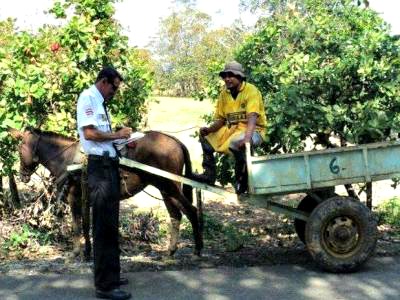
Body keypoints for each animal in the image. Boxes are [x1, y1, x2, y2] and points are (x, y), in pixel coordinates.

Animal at [10, 126, 203, 260]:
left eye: (19, 150)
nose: (22, 175)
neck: (68, 160)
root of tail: (175, 140)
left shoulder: (75, 198)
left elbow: (77, 226)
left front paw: (77, 252)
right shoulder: (86, 200)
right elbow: (87, 225)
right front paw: (89, 252)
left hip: (169, 186)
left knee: (191, 211)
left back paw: (198, 249)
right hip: (165, 189)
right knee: (176, 215)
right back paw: (171, 251)